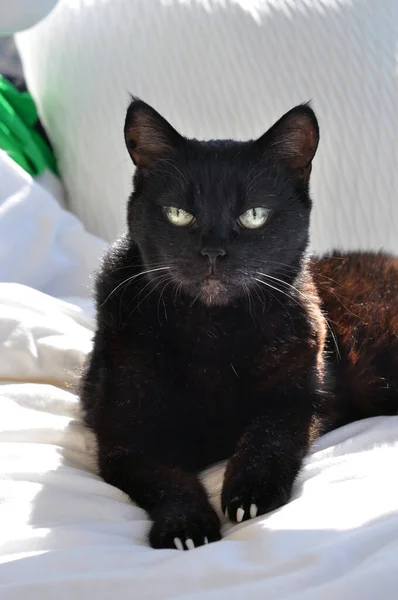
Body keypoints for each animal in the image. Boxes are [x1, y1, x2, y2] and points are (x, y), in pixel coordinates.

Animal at [81, 98, 398, 548]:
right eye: (178, 214)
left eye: (254, 215)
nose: (213, 252)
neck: (210, 331)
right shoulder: (123, 441)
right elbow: (164, 480)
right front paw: (185, 527)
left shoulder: (300, 398)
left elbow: (267, 438)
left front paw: (250, 494)